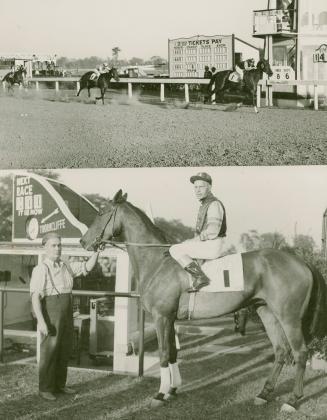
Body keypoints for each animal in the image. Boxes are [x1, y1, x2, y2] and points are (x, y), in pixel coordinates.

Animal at [80, 191, 327, 414]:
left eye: (101, 212)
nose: (83, 241)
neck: (159, 263)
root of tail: (302, 262)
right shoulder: (170, 319)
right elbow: (173, 353)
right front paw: (172, 390)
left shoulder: (161, 317)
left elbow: (163, 353)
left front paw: (159, 394)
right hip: (266, 312)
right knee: (280, 350)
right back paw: (264, 394)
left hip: (289, 318)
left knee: (300, 352)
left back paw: (292, 400)